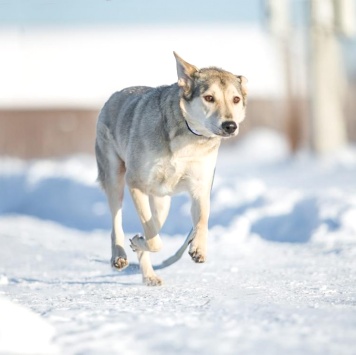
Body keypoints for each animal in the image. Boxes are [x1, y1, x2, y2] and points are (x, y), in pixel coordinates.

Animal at [95, 52, 248, 286]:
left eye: (236, 99)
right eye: (209, 98)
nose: (230, 126)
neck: (188, 137)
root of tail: (115, 95)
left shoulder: (201, 188)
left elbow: (202, 220)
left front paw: (198, 249)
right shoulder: (135, 183)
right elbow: (155, 242)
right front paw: (137, 243)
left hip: (162, 202)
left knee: (151, 226)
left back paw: (149, 275)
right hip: (116, 179)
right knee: (117, 222)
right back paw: (120, 256)